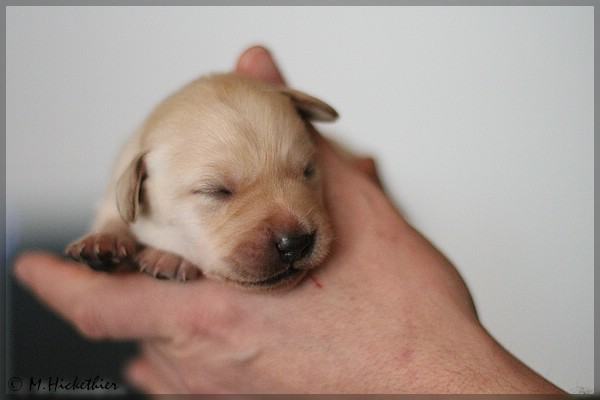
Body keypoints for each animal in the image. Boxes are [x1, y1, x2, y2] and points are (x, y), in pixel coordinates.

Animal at [66, 73, 337, 290]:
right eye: (216, 191)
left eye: (308, 171)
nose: (296, 243)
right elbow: (113, 214)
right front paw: (104, 240)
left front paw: (169, 258)